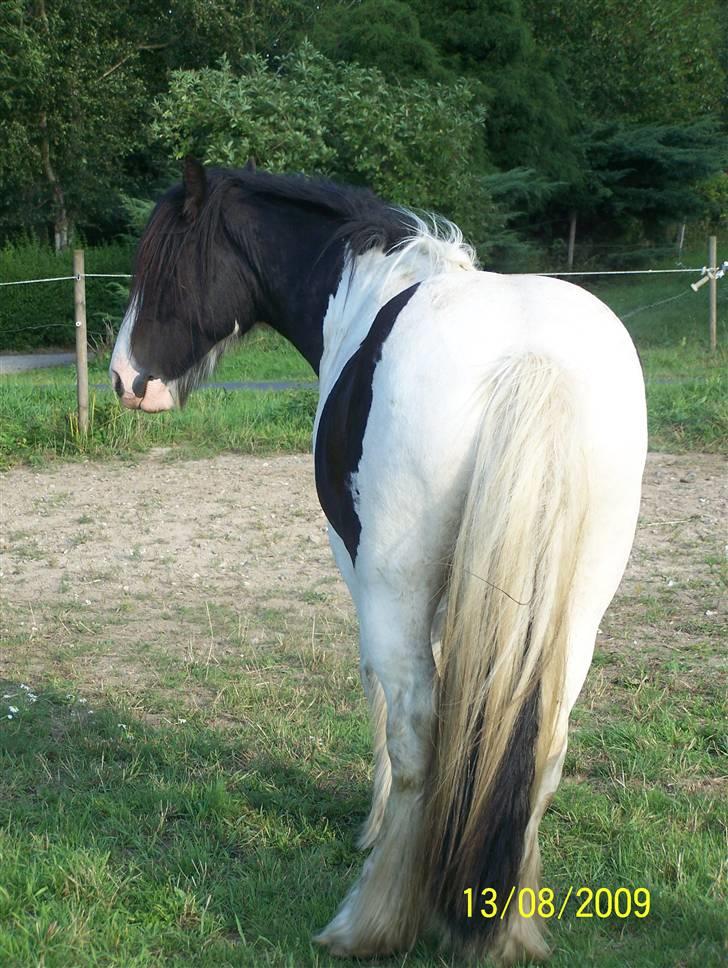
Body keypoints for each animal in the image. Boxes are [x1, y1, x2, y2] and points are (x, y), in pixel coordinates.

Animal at [111, 157, 644, 960]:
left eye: (162, 264)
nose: (124, 379)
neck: (372, 292)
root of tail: (530, 358)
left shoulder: (363, 573)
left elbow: (383, 698)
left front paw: (376, 823)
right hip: (577, 606)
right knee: (544, 739)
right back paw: (508, 925)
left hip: (397, 587)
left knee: (419, 726)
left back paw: (373, 921)